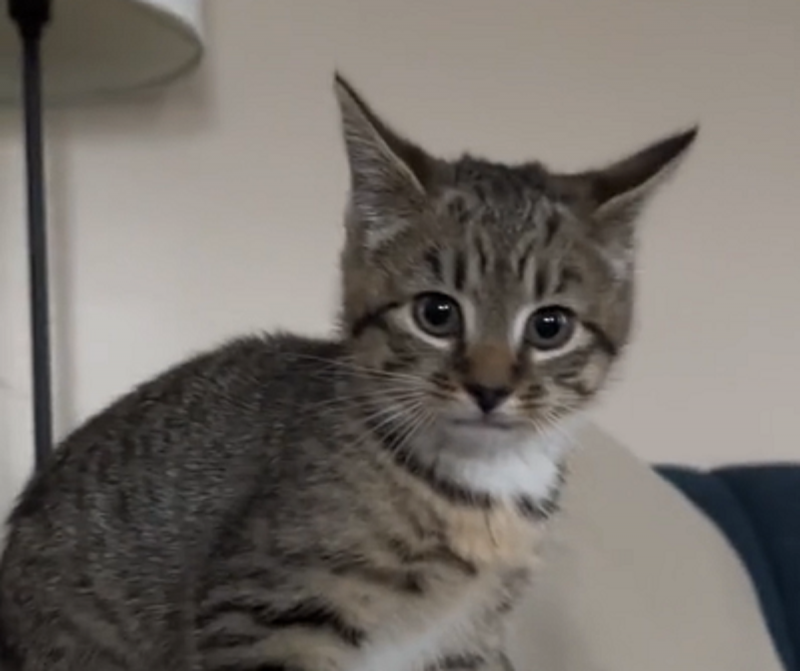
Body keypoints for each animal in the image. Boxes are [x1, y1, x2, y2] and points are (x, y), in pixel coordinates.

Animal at [0, 75, 696, 671]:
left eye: (550, 326)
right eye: (436, 313)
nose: (490, 388)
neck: (480, 490)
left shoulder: (468, 641)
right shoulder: (264, 614)